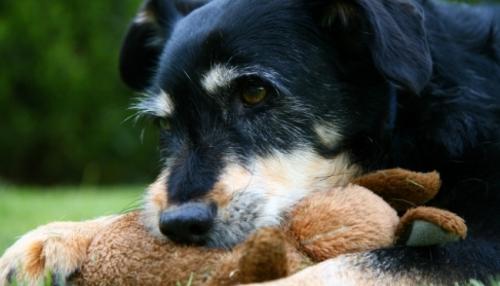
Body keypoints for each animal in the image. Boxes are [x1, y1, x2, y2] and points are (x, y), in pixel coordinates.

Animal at [0, 0, 500, 284]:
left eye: (255, 92)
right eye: (165, 124)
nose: (180, 225)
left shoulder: (484, 242)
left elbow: (352, 265)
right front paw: (58, 235)